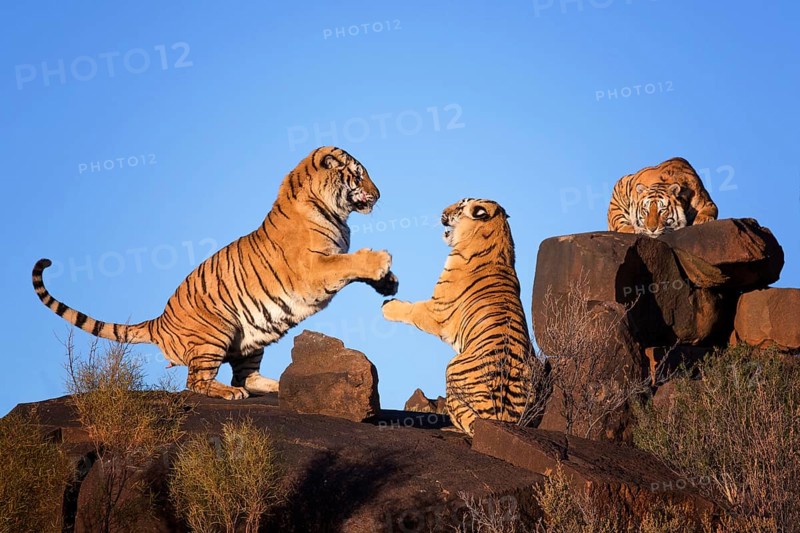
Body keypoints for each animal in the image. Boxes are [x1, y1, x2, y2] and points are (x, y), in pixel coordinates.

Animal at [32, 146, 398, 400]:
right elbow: (347, 263)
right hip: (216, 330)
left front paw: (387, 283)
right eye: (358, 175)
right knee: (196, 382)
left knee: (245, 375)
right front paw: (381, 261)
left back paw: (276, 385)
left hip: (251, 339)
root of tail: (158, 322)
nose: (379, 194)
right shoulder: (314, 269)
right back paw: (230, 392)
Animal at [381, 198, 533, 436]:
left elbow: (412, 311)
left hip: (452, 369)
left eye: (460, 206)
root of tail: (502, 418)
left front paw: (388, 307)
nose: (442, 212)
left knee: (464, 417)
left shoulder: (437, 309)